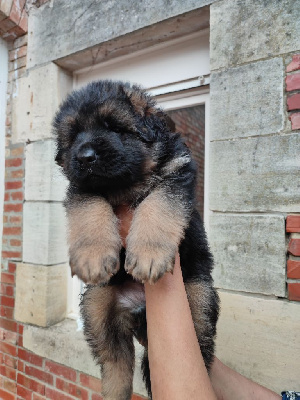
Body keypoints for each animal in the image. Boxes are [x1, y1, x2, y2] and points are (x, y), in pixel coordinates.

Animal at [53, 80, 218, 400]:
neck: (125, 184)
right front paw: (93, 255)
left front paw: (148, 256)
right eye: (74, 135)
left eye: (115, 128)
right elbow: (91, 208)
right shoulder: (83, 188)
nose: (85, 157)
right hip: (96, 305)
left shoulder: (174, 177)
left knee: (198, 352)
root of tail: (137, 309)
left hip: (199, 300)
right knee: (115, 360)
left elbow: (157, 206)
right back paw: (113, 392)